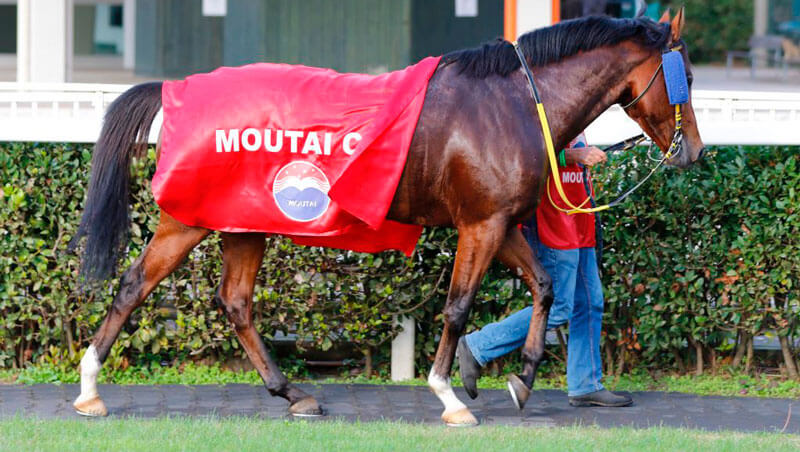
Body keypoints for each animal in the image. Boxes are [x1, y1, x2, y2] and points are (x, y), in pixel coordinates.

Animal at [72, 11, 704, 428]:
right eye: (688, 78)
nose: (694, 151)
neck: (514, 104)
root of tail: (178, 88)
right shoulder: (480, 225)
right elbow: (458, 307)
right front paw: (449, 395)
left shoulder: (497, 222)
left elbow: (546, 286)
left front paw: (521, 378)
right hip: (189, 220)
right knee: (134, 286)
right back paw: (89, 388)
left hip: (244, 225)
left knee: (236, 302)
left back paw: (292, 393)